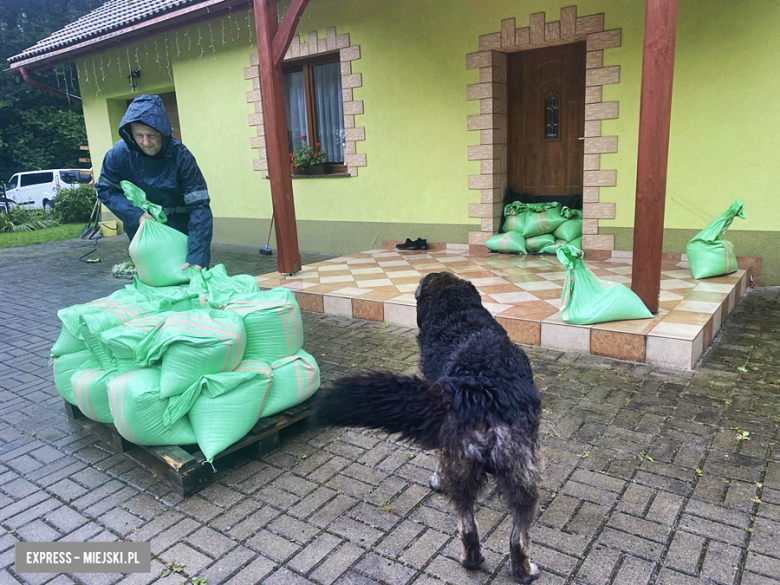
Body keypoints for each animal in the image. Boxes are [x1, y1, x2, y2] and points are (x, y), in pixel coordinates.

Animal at [314, 272, 540, 580]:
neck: (458, 317)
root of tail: (479, 386)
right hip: (513, 472)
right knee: (496, 531)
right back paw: (506, 567)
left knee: (485, 530)